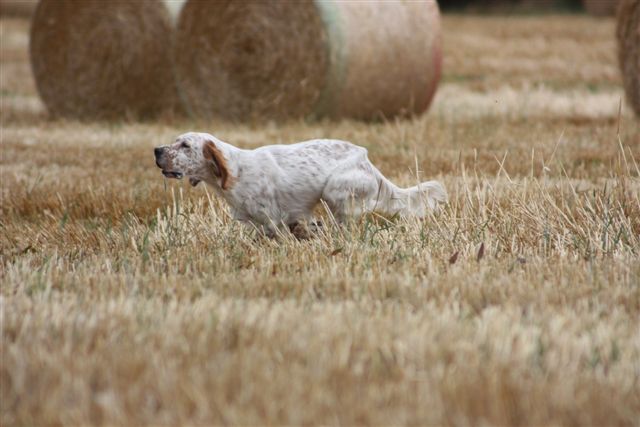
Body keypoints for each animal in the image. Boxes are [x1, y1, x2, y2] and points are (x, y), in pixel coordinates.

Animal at [154, 132, 444, 236]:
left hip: (334, 189)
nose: (156, 150)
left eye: (185, 145)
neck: (237, 170)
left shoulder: (273, 219)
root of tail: (368, 161)